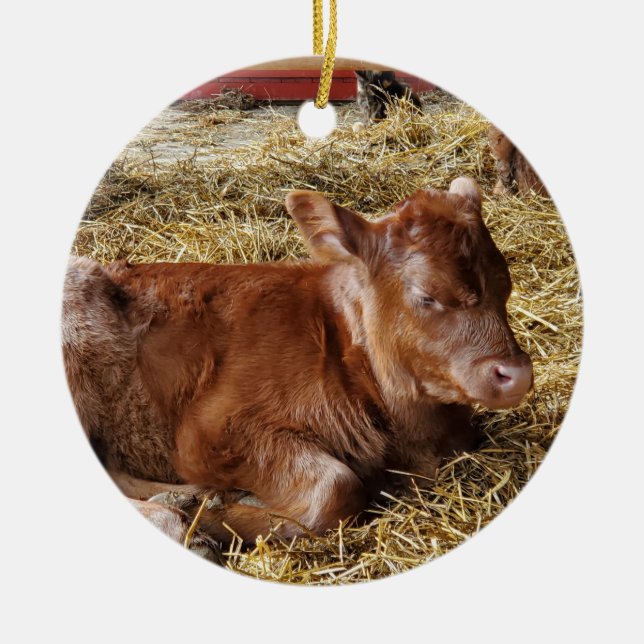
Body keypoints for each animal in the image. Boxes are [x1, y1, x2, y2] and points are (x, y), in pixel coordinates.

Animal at [62, 177, 533, 552]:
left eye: (505, 284)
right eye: (427, 296)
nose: (517, 374)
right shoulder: (210, 430)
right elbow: (337, 488)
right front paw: (215, 519)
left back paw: (186, 498)